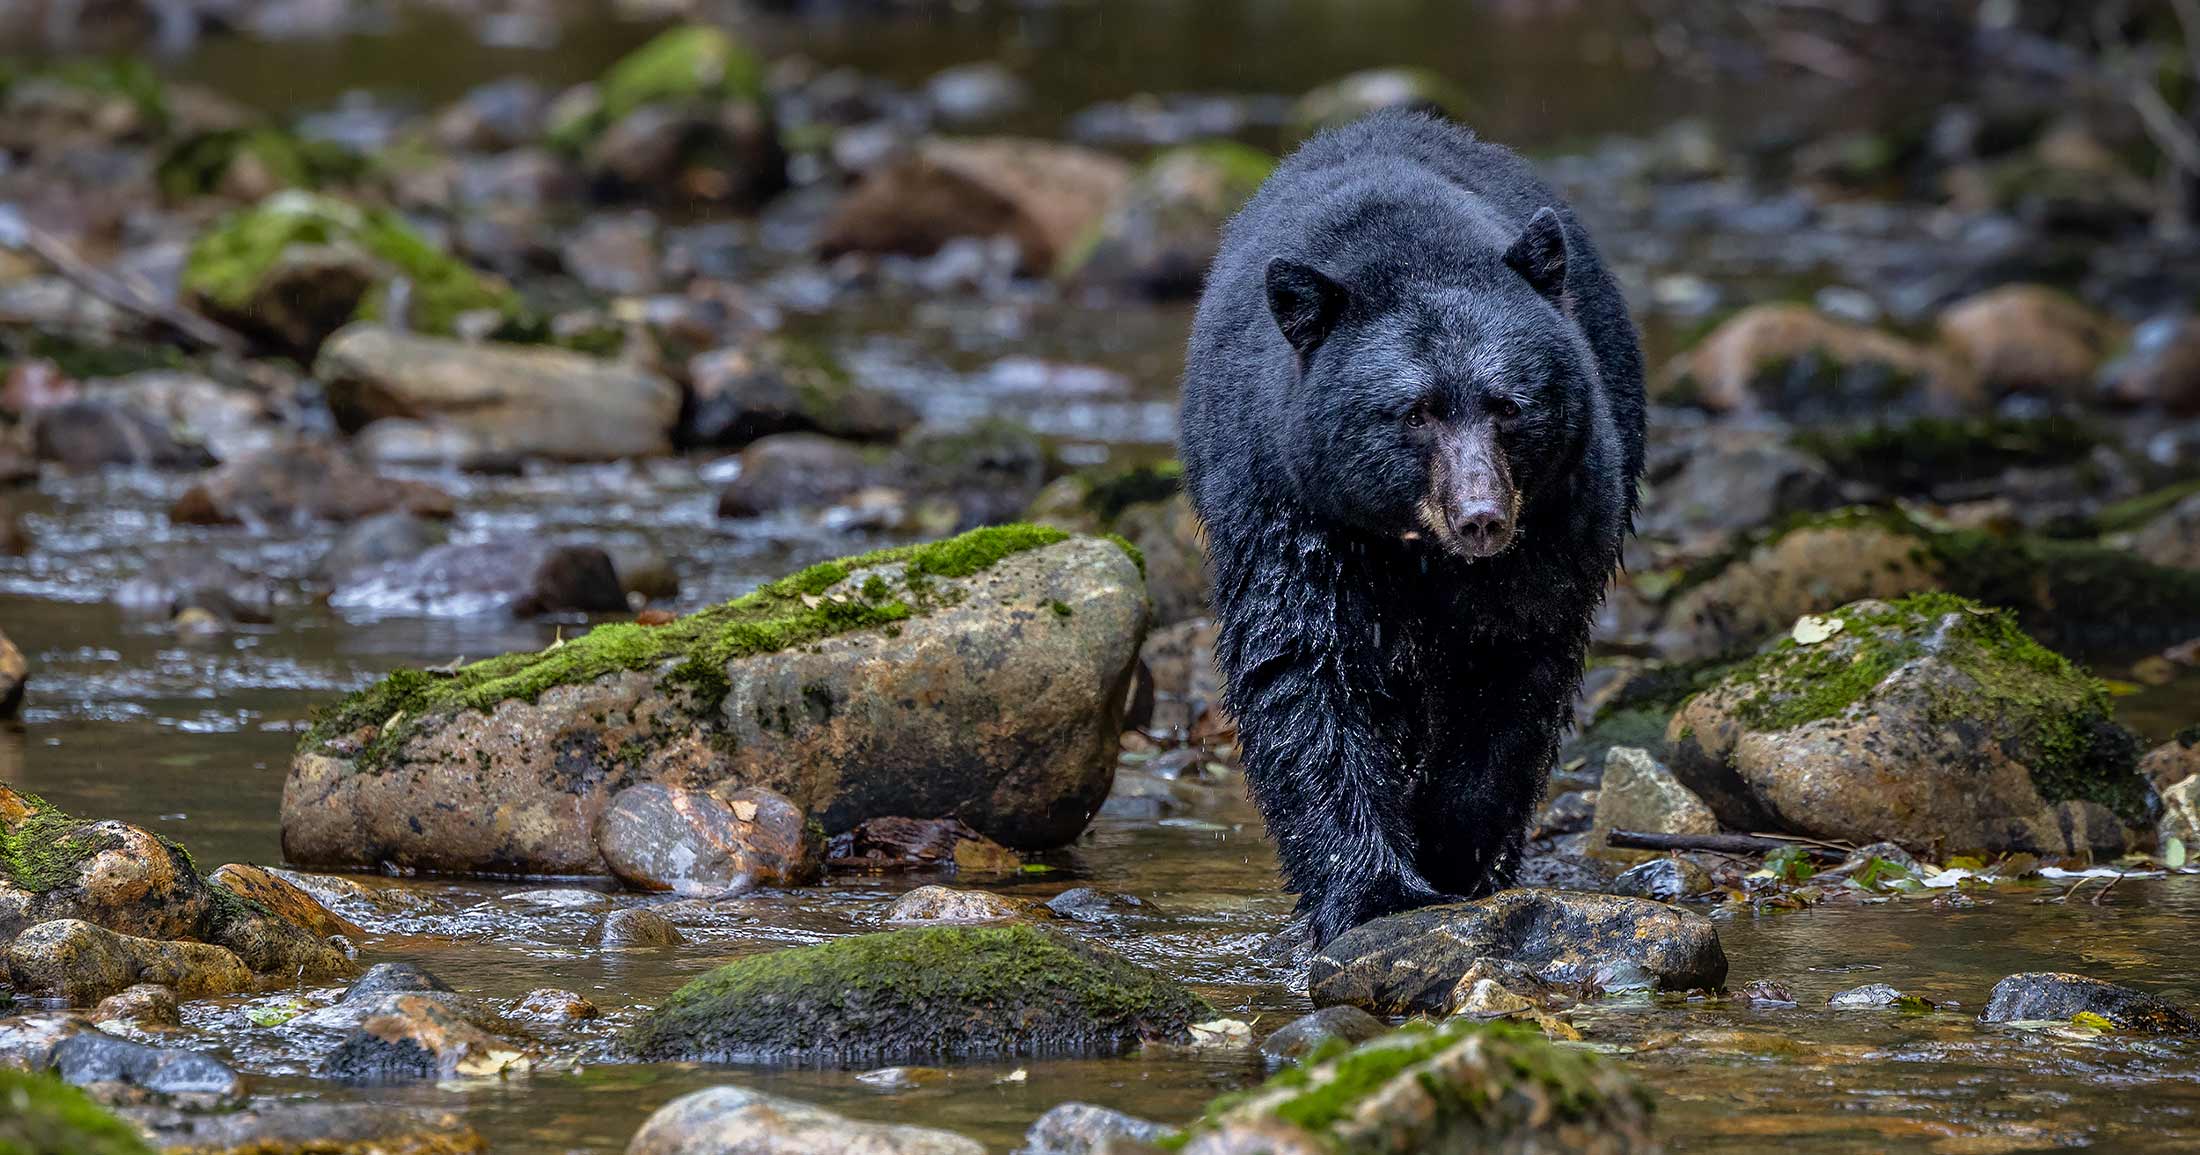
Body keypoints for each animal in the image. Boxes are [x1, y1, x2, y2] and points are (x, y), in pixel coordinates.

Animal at [1179, 110, 1645, 946]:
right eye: (1416, 412)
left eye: (1508, 404)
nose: (1482, 517)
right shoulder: (1290, 509)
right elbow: (1303, 672)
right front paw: (1372, 888)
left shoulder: (1559, 520)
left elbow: (1514, 680)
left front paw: (1453, 849)